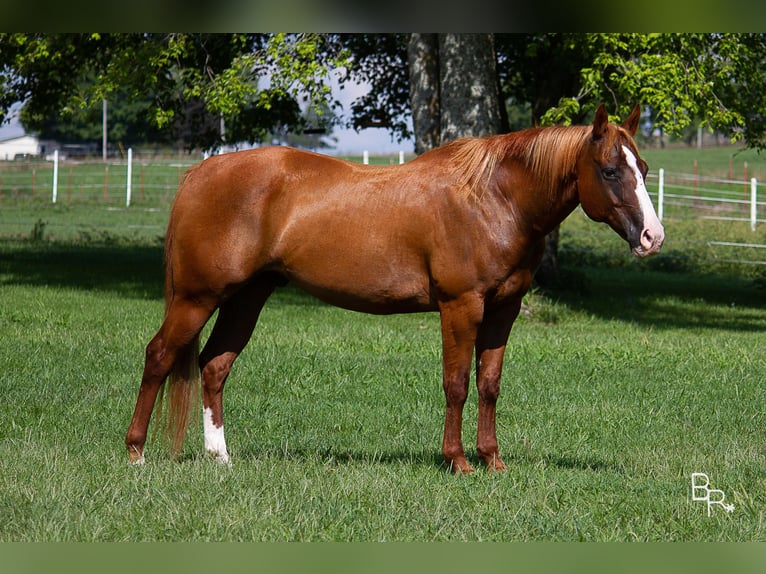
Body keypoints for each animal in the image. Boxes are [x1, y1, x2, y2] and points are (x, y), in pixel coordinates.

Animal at [126, 106, 664, 474]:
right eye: (610, 170)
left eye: (642, 168)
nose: (651, 237)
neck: (493, 200)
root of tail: (199, 173)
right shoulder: (460, 307)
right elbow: (456, 383)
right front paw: (458, 461)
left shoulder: (503, 310)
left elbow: (489, 384)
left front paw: (493, 461)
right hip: (196, 299)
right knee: (159, 355)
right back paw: (135, 453)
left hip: (247, 297)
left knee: (214, 365)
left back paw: (221, 458)